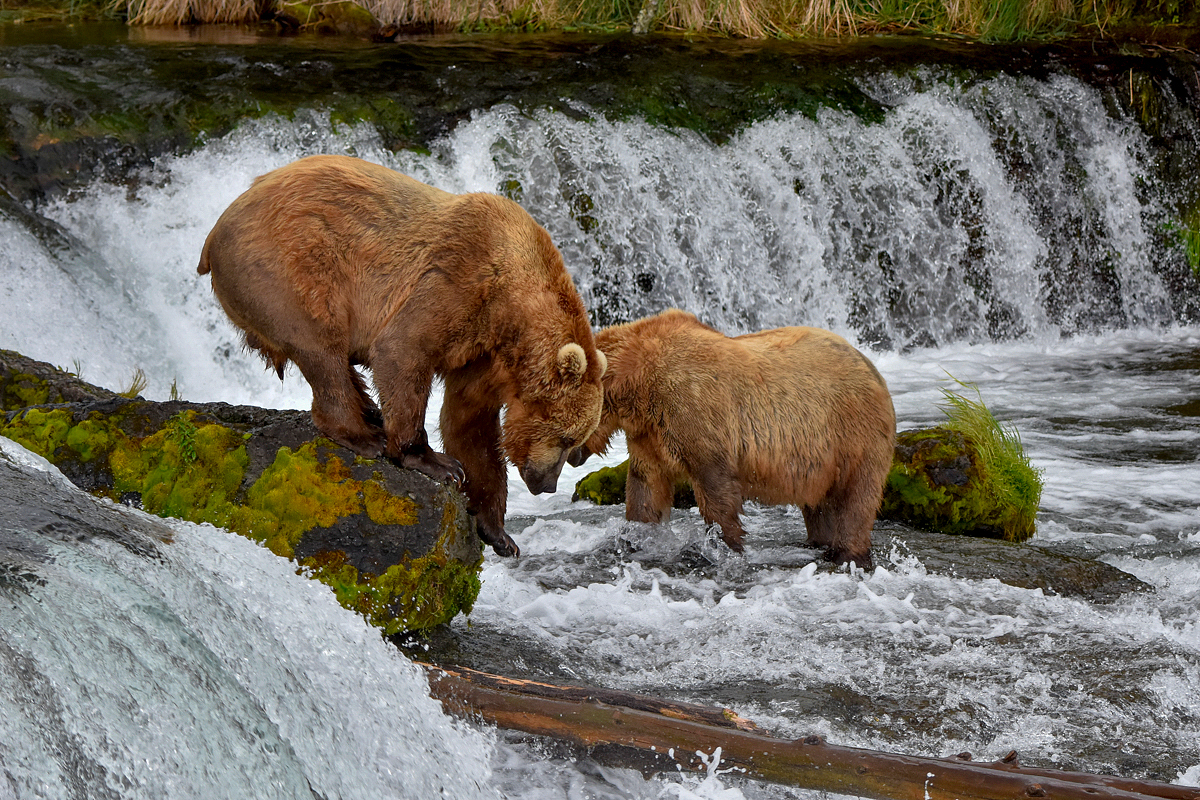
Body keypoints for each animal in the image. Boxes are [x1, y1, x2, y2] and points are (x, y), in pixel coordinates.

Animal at [202, 154, 609, 556]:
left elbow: (471, 424)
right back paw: (362, 434)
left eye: (577, 440)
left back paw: (370, 412)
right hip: (286, 267)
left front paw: (498, 533)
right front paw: (434, 461)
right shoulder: (456, 281)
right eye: (565, 437)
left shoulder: (482, 350)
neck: (510, 311)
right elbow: (402, 354)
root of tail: (215, 229)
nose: (546, 484)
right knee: (321, 348)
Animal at [568, 309, 892, 568]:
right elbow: (645, 487)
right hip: (817, 459)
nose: (570, 459)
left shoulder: (695, 411)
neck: (638, 384)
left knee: (856, 497)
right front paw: (631, 539)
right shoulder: (649, 436)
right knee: (819, 505)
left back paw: (845, 554)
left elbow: (715, 488)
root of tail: (870, 365)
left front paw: (720, 547)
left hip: (852, 434)